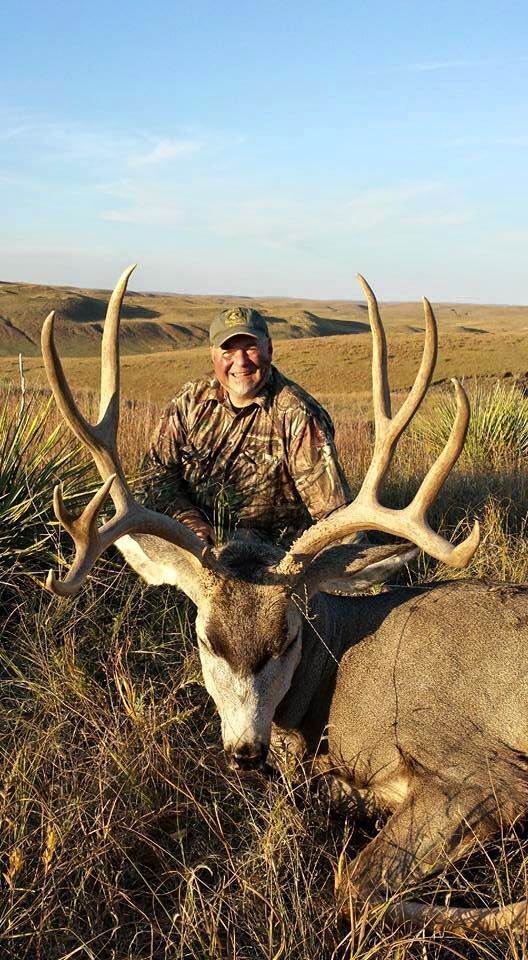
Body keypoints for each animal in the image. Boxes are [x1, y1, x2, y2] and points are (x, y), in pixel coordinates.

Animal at [41, 266, 528, 936]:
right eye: (205, 638)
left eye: (291, 634)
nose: (246, 752)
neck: (340, 670)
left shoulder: (482, 769)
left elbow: (353, 882)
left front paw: (514, 913)